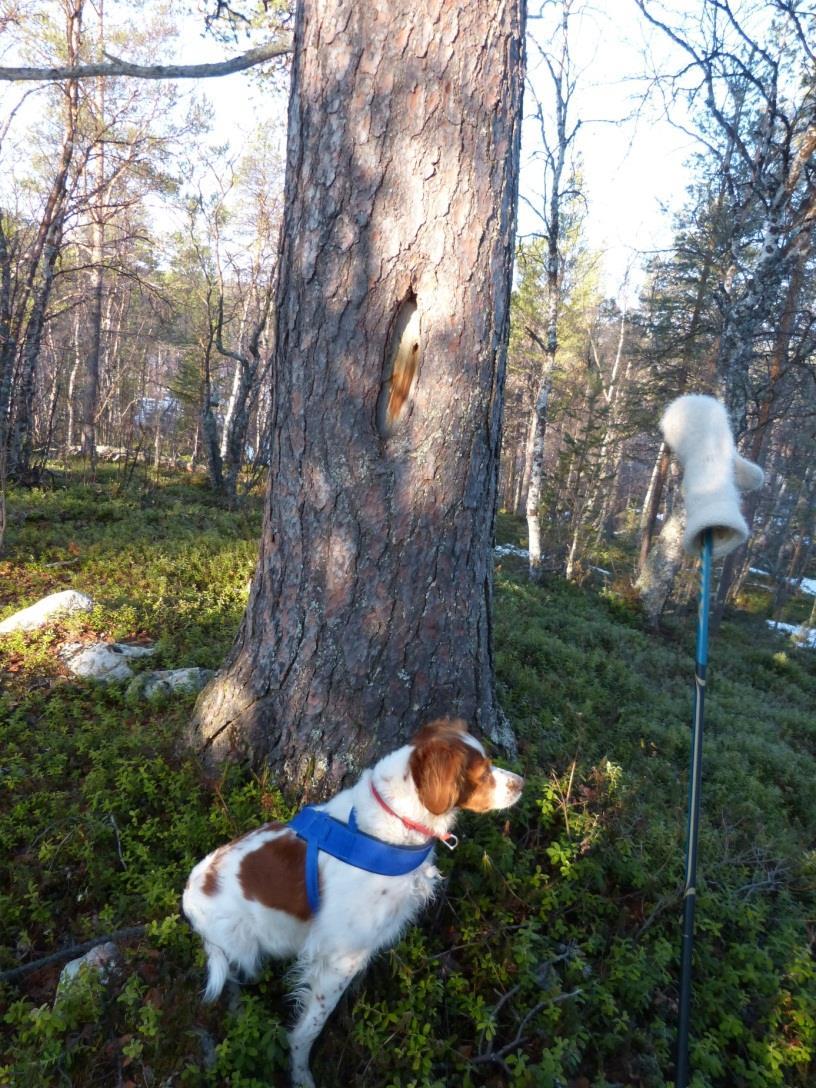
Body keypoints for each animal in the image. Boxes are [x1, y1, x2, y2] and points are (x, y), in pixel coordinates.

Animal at [182, 718, 526, 1083]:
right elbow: (307, 1029)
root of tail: (188, 897)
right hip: (243, 944)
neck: (393, 825)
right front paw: (301, 1074)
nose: (522, 782)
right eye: (483, 772)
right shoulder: (339, 958)